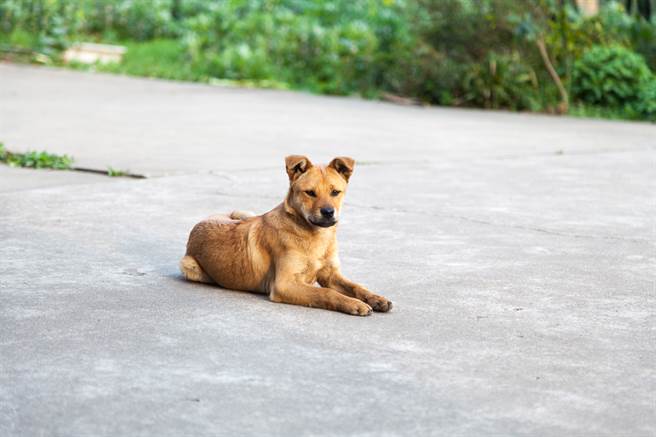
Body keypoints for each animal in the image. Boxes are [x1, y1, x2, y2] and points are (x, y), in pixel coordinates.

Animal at [179, 155, 392, 316]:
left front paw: (376, 299)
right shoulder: (284, 284)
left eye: (335, 192)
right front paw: (354, 304)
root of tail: (201, 221)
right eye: (310, 193)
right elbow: (326, 293)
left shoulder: (330, 274)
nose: (328, 212)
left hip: (244, 212)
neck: (314, 236)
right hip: (188, 266)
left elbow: (356, 286)